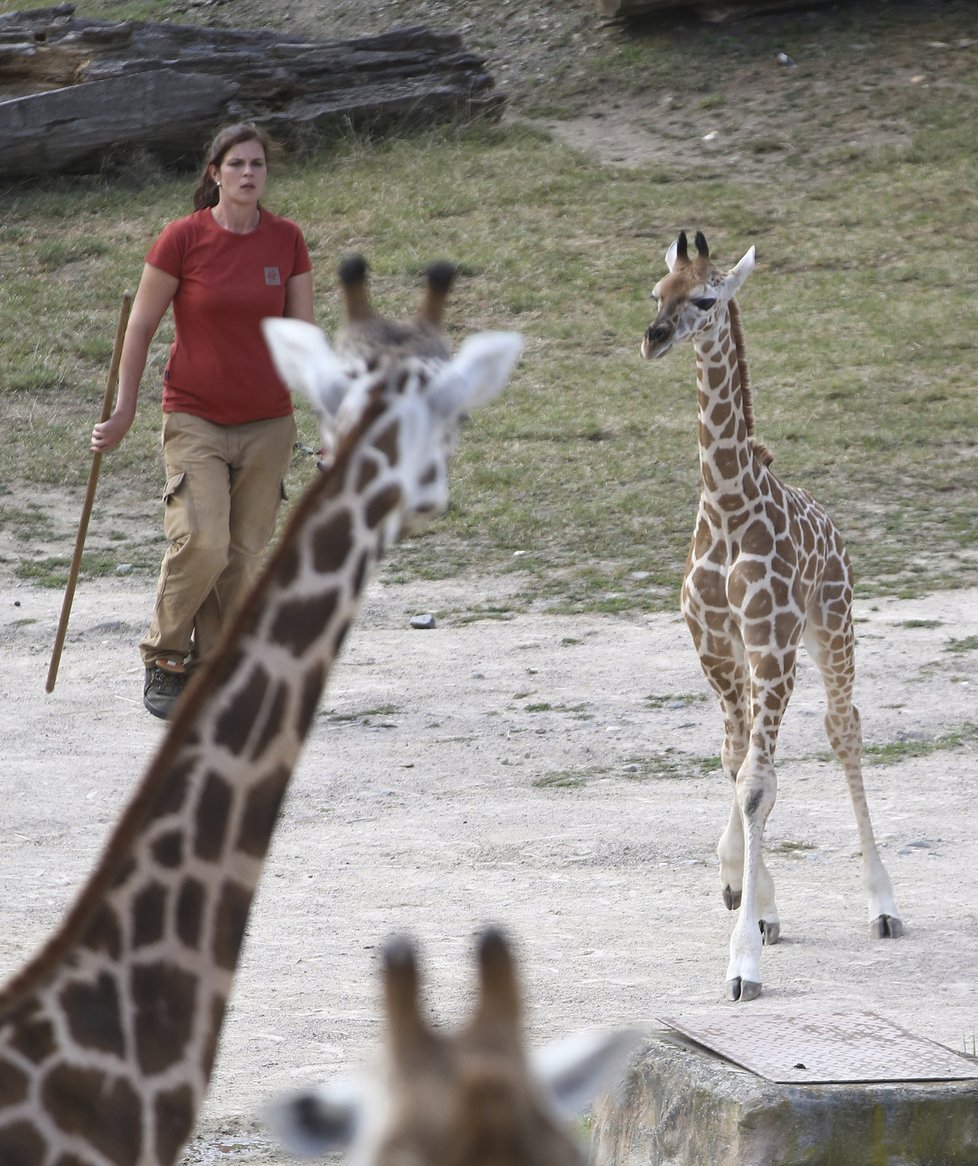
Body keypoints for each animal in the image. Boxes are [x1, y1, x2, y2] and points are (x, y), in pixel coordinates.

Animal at [643, 229, 904, 1002]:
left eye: (705, 299)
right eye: (656, 292)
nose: (653, 337)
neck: (729, 506)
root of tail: (835, 527)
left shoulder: (772, 645)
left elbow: (759, 783)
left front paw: (743, 964)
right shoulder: (717, 648)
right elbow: (739, 768)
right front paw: (749, 899)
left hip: (833, 626)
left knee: (845, 731)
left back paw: (883, 904)